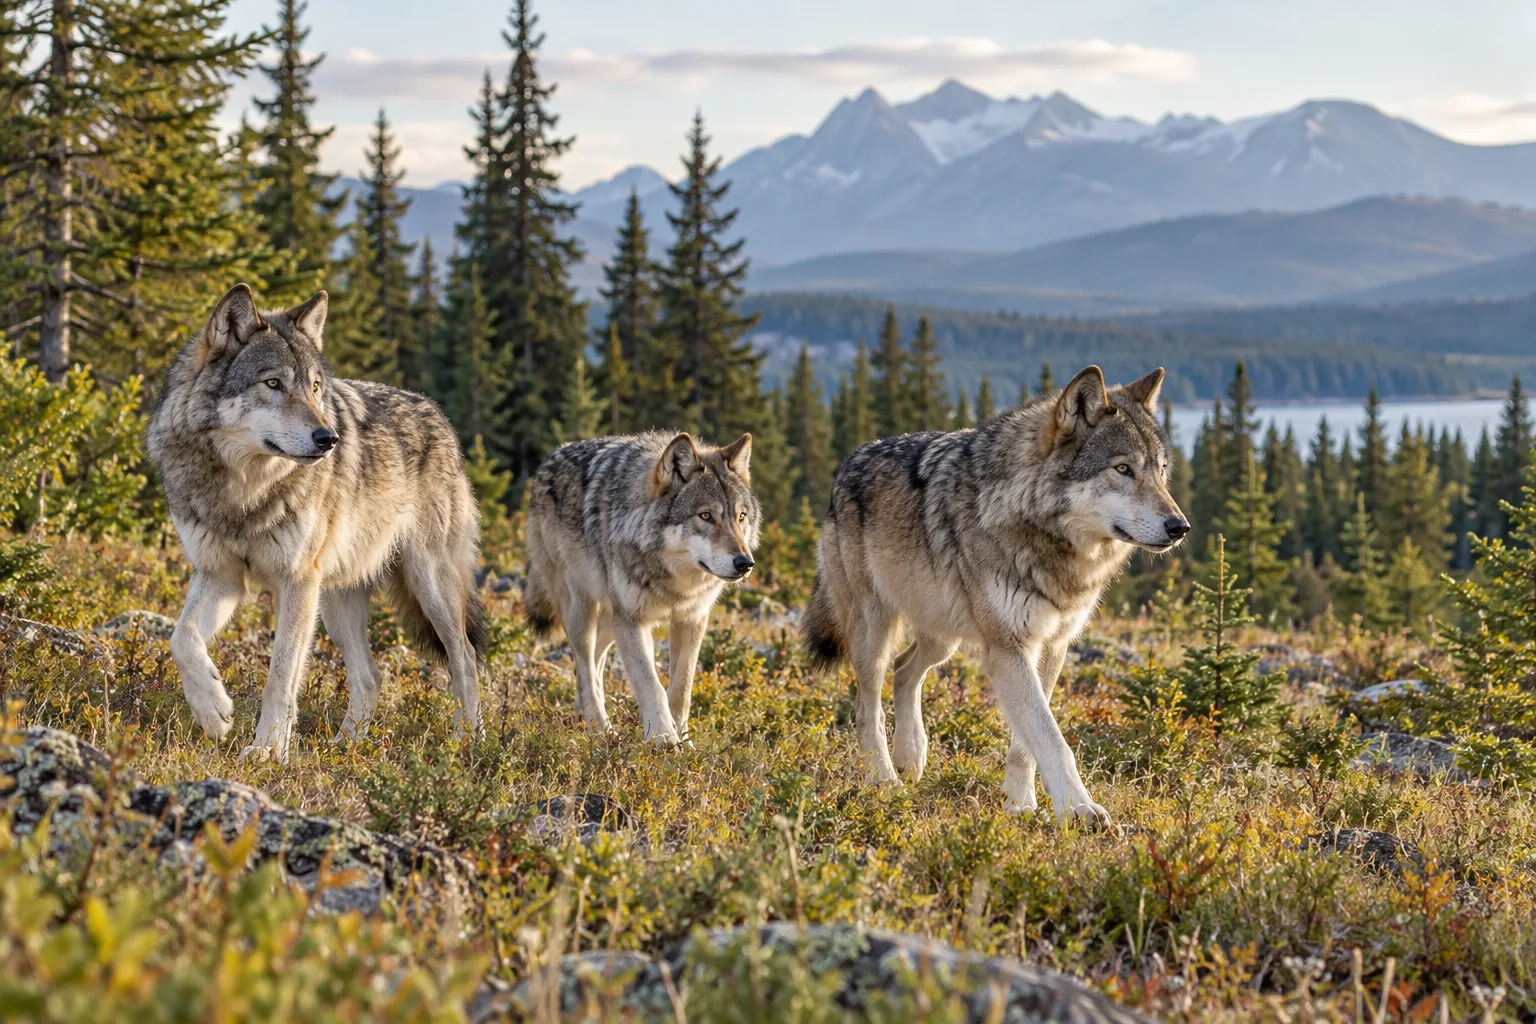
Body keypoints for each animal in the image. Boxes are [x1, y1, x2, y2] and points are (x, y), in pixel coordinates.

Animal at [146, 283, 486, 761]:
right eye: (273, 383)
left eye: (315, 386)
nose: (329, 439)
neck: (242, 491)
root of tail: (439, 415)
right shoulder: (221, 575)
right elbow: (181, 639)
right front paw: (213, 711)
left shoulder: (296, 580)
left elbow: (280, 676)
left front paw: (267, 752)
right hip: (335, 602)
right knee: (371, 677)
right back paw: (346, 748)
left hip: (427, 585)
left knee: (465, 658)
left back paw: (467, 743)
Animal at [523, 431, 760, 744]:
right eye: (706, 516)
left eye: (741, 516)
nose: (745, 563)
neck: (673, 580)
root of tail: (546, 462)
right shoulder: (631, 619)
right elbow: (650, 683)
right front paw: (663, 739)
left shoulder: (692, 619)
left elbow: (681, 687)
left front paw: (682, 737)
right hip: (582, 610)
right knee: (585, 663)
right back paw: (599, 726)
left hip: (612, 619)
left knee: (594, 661)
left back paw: (582, 714)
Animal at [802, 366, 1187, 825]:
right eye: (1123, 468)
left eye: (1161, 470)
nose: (1180, 527)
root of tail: (848, 463)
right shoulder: (1008, 647)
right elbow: (1052, 739)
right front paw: (1080, 810)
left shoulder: (1051, 646)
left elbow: (1027, 743)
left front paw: (1020, 805)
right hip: (874, 631)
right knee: (868, 707)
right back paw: (883, 780)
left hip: (943, 637)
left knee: (905, 670)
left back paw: (911, 757)